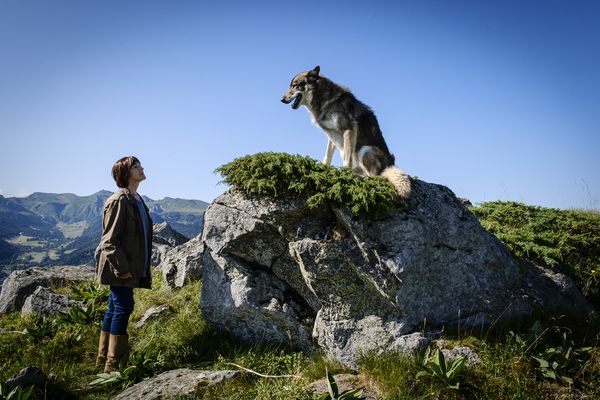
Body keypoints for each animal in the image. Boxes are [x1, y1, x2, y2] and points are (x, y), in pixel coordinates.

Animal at [282, 65, 412, 200]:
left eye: (295, 86)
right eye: (291, 85)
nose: (282, 99)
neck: (324, 100)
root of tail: (390, 164)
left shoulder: (349, 129)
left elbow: (347, 157)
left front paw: (345, 173)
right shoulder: (331, 135)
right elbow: (327, 155)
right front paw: (323, 168)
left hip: (364, 150)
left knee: (374, 177)